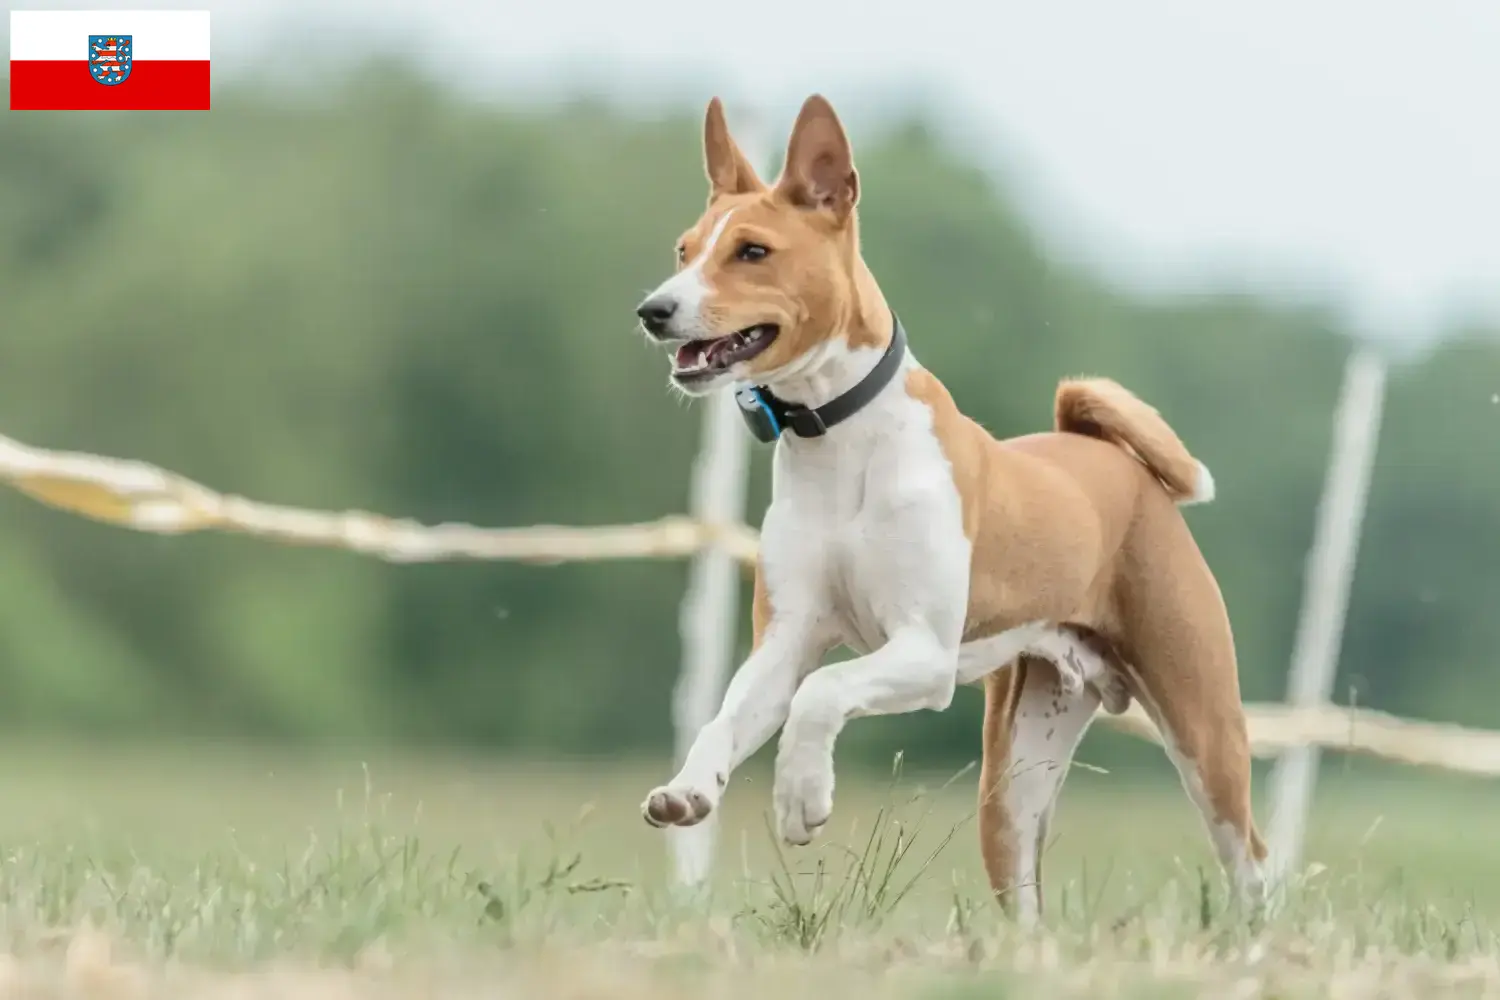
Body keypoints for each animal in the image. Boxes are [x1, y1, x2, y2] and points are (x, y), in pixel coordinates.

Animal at [633, 95, 1266, 923]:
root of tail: (1112, 460)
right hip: (1014, 778)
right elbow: (730, 714)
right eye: (684, 251)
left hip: (1205, 732)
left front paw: (801, 797)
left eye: (752, 251)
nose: (653, 309)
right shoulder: (786, 640)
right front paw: (689, 789)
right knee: (1025, 895)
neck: (839, 443)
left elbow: (820, 693)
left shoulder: (923, 651)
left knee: (1251, 861)